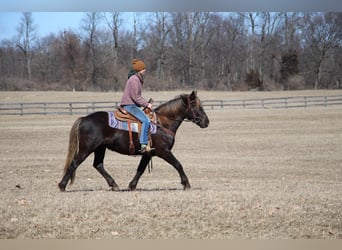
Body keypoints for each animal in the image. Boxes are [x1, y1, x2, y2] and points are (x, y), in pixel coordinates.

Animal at [57, 90, 210, 191]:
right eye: (196, 105)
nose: (206, 121)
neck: (162, 123)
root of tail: (84, 119)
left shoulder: (148, 153)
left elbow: (140, 169)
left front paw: (132, 186)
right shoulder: (164, 152)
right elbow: (178, 164)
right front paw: (186, 184)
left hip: (100, 148)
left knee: (98, 164)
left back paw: (114, 185)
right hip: (86, 148)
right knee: (74, 163)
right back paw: (62, 186)